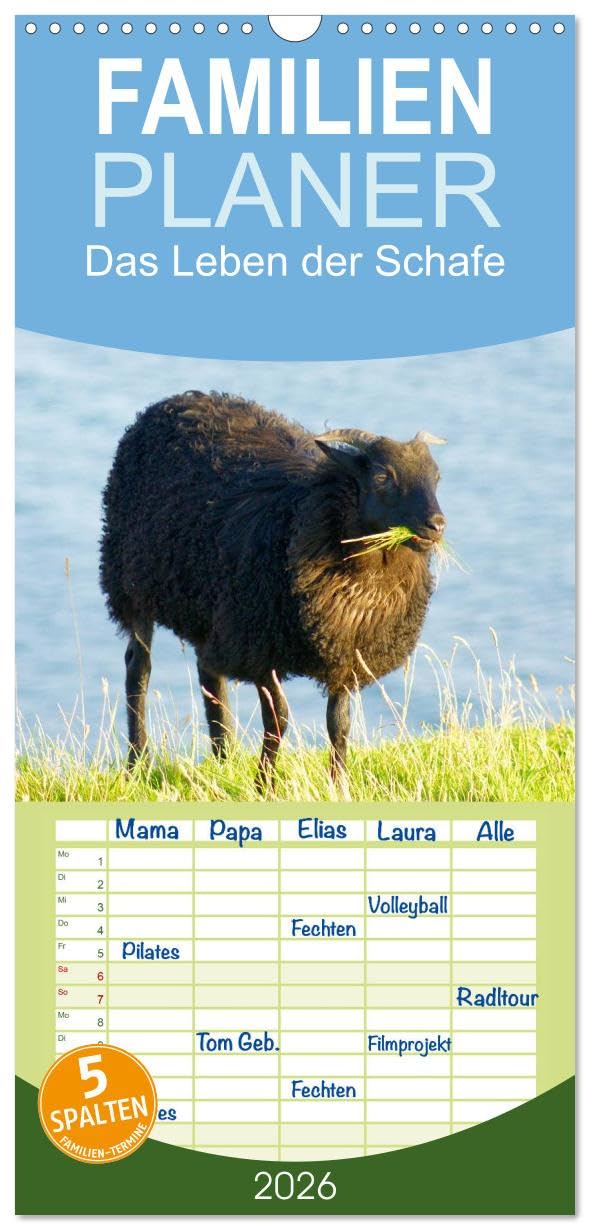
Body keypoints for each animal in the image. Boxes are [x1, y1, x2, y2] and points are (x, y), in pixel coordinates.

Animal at [100, 391, 446, 790]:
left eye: (436, 476)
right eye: (382, 476)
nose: (436, 525)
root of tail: (180, 399)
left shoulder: (345, 651)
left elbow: (339, 724)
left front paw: (337, 784)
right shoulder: (261, 646)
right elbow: (278, 718)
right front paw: (264, 784)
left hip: (212, 608)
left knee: (209, 673)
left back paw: (223, 757)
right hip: (133, 583)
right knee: (138, 668)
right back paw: (137, 761)